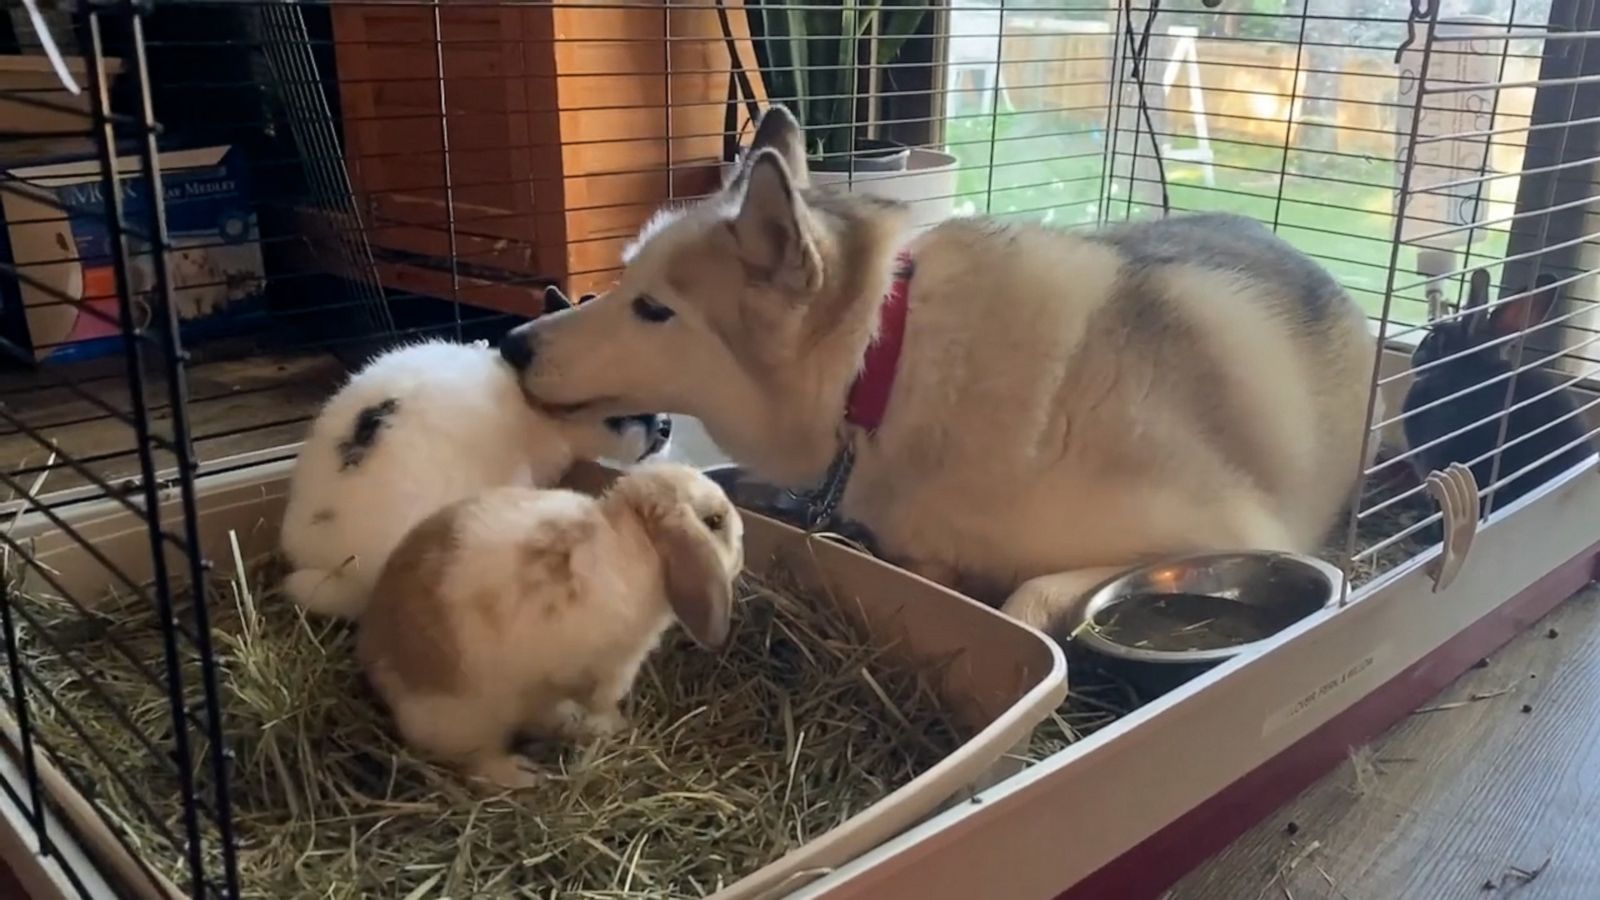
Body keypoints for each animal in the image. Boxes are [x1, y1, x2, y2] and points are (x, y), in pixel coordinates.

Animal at [499, 104, 1376, 634]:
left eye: (653, 309)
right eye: (623, 283)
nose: (512, 344)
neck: (883, 374)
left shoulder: (1237, 533)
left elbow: (1027, 595)